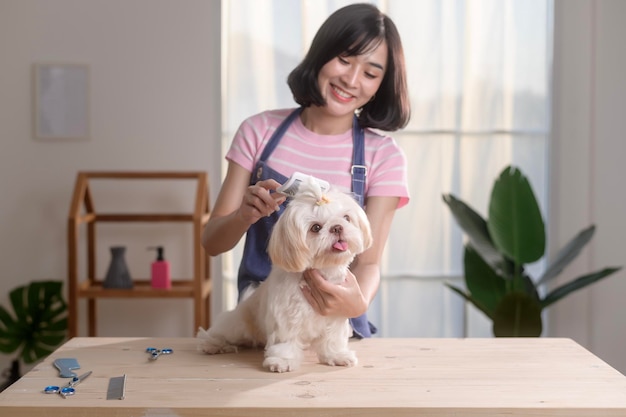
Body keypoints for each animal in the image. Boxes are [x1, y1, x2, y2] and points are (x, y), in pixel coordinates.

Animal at [195, 177, 370, 372]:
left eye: (346, 218)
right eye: (316, 227)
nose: (337, 227)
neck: (322, 270)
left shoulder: (337, 310)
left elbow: (333, 338)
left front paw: (337, 355)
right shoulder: (286, 316)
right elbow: (286, 340)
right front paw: (283, 360)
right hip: (238, 325)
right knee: (219, 332)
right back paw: (212, 344)